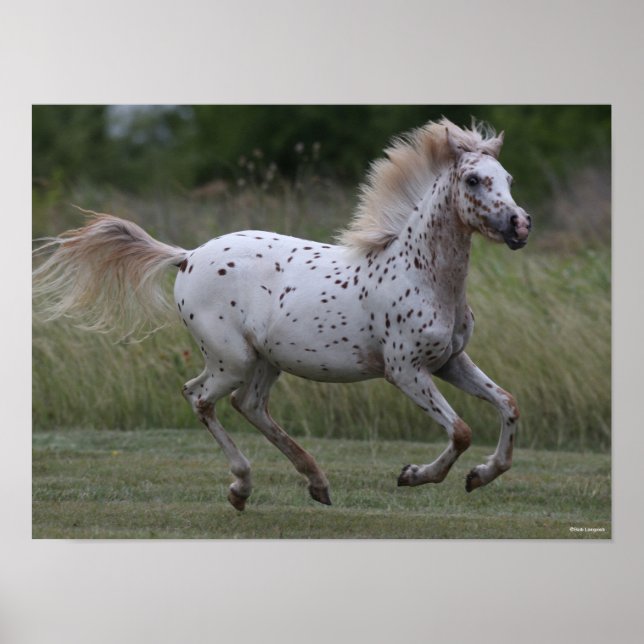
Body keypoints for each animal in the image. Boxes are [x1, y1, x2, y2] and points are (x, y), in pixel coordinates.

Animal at [32, 118, 532, 510]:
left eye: (508, 177)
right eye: (473, 180)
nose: (520, 225)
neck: (420, 273)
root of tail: (188, 256)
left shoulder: (449, 362)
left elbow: (507, 404)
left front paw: (480, 476)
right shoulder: (405, 370)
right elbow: (461, 431)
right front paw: (413, 475)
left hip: (264, 361)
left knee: (247, 404)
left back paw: (314, 483)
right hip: (232, 359)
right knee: (201, 398)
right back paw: (242, 486)